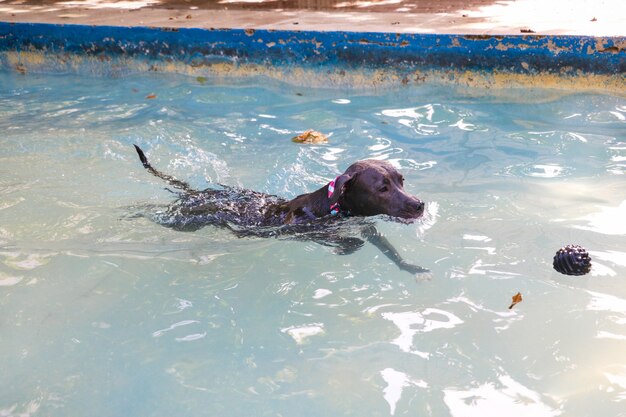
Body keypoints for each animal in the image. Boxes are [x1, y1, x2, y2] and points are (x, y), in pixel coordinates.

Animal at [132, 145, 424, 274]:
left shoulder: (369, 228)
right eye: (382, 188)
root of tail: (196, 192)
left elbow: (387, 249)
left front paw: (410, 267)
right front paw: (343, 248)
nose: (419, 204)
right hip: (186, 221)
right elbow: (352, 243)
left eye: (401, 180)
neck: (335, 206)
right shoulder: (308, 233)